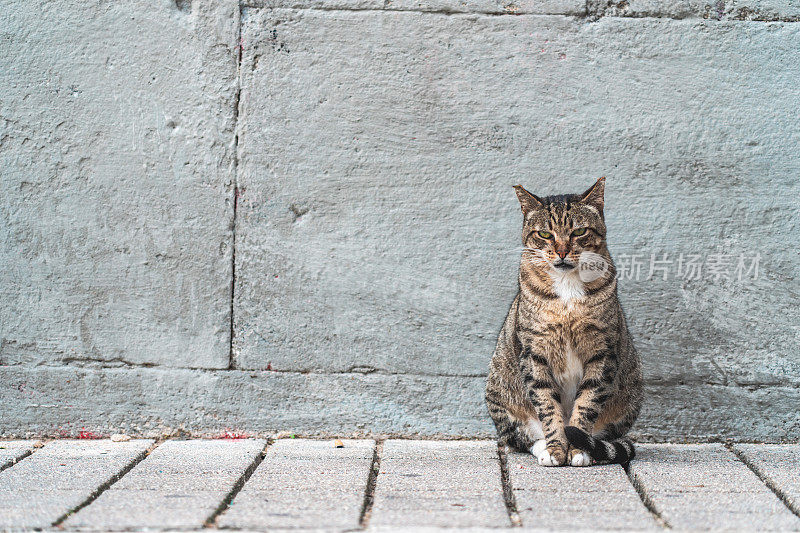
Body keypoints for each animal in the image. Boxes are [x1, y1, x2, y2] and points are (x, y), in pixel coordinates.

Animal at [482, 178, 644, 466]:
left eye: (579, 231)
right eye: (545, 234)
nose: (561, 251)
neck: (567, 288)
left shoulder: (601, 351)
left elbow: (587, 403)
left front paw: (578, 449)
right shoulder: (534, 353)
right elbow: (547, 404)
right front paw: (557, 448)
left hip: (631, 396)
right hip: (498, 391)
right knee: (516, 438)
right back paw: (541, 447)